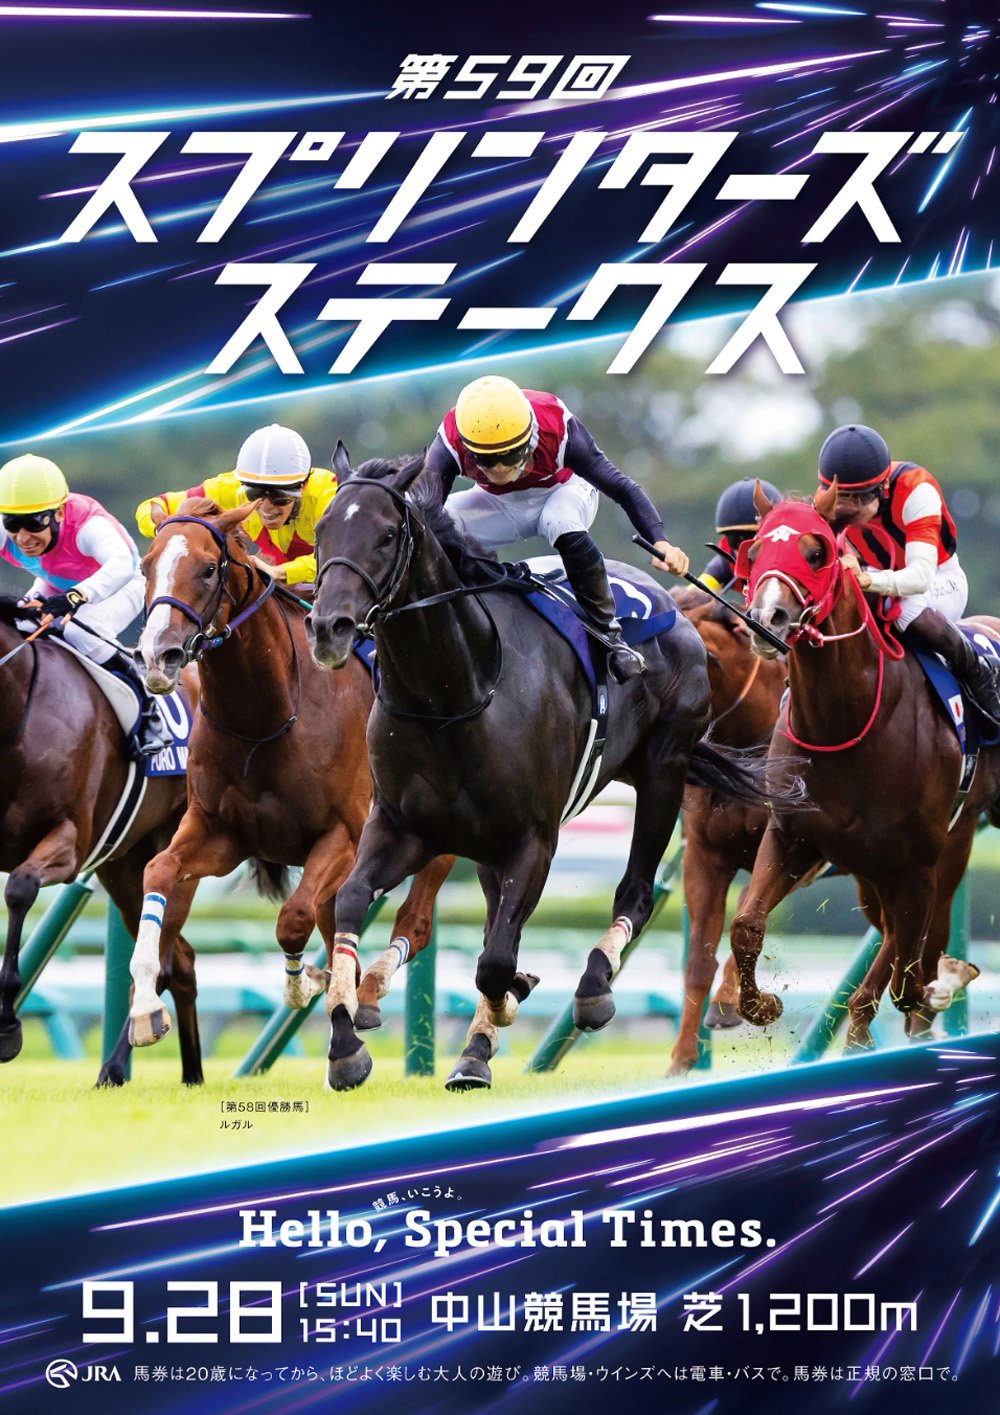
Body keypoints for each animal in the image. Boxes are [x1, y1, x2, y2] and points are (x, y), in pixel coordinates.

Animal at [0, 597, 202, 1085]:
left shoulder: (70, 843)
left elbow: (19, 889)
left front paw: (8, 1027)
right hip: (124, 867)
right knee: (182, 961)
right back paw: (192, 1073)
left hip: (177, 853)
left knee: (164, 962)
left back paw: (116, 1064)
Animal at [130, 498, 453, 1070]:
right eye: (147, 567)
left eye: (208, 568)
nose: (156, 657)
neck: (267, 715)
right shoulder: (219, 832)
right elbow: (159, 870)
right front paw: (145, 1007)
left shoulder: (344, 836)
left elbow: (293, 917)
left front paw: (304, 986)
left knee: (413, 922)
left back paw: (367, 993)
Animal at [306, 455, 801, 1092]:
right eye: (321, 532)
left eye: (387, 535)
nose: (329, 627)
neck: (454, 692)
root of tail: (673, 609)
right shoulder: (403, 828)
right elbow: (351, 902)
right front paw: (346, 1045)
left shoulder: (533, 839)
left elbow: (495, 960)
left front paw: (488, 1032)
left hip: (664, 774)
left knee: (634, 891)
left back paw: (590, 988)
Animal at [730, 482, 998, 1048]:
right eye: (756, 551)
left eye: (817, 552)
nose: (767, 621)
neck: (846, 724)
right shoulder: (792, 836)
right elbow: (746, 925)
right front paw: (761, 1005)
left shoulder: (918, 862)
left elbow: (906, 973)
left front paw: (937, 986)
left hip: (946, 846)